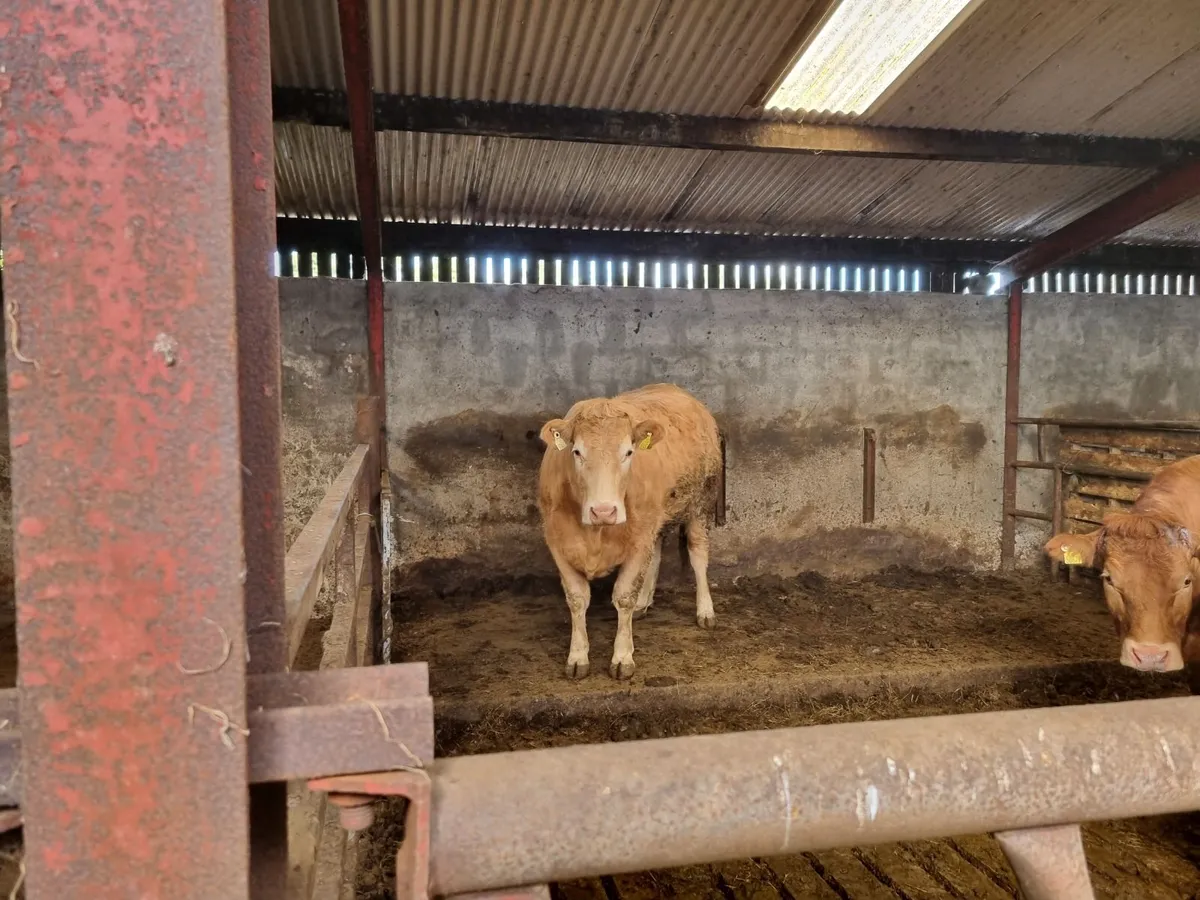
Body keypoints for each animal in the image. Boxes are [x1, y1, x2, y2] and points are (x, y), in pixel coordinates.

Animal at [538, 383, 722, 680]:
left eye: (628, 452)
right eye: (576, 452)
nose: (604, 511)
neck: (596, 534)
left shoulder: (638, 541)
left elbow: (624, 596)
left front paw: (622, 657)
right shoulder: (558, 542)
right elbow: (577, 599)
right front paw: (577, 657)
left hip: (701, 503)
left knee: (698, 555)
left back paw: (705, 610)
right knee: (656, 552)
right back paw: (643, 604)